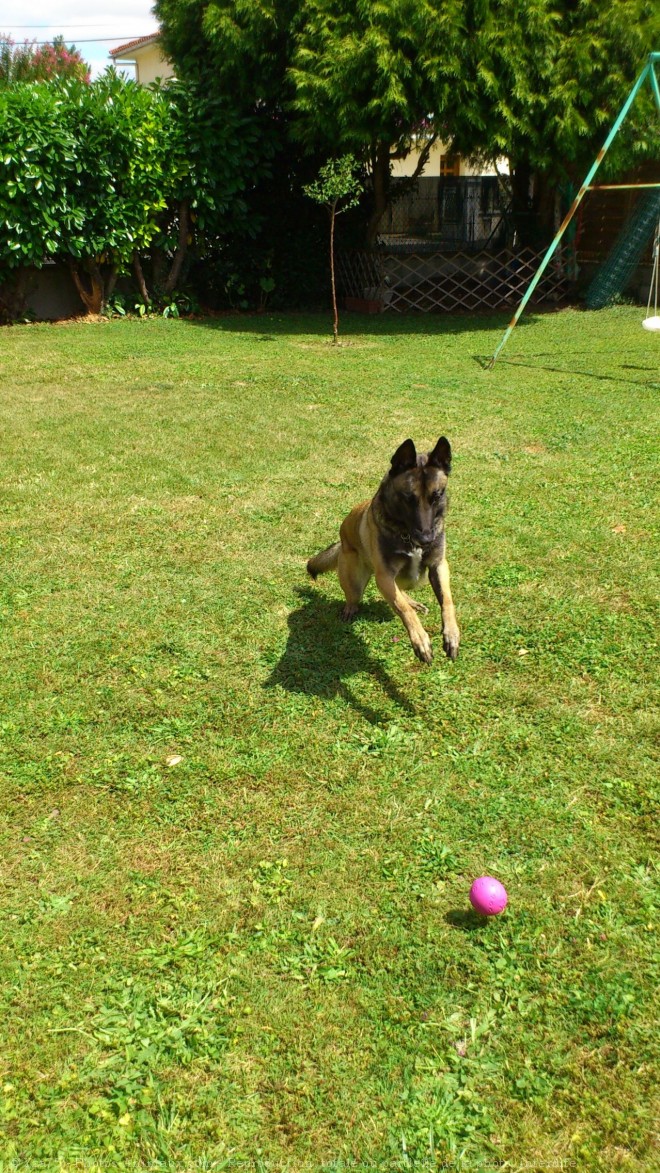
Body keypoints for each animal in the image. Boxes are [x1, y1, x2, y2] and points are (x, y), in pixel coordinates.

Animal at [309, 438, 459, 666]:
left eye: (437, 496)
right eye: (408, 498)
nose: (426, 540)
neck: (406, 534)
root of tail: (342, 541)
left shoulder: (438, 565)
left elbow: (447, 601)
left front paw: (452, 634)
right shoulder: (384, 576)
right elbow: (403, 609)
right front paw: (420, 640)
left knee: (402, 591)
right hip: (356, 582)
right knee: (355, 597)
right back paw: (350, 609)